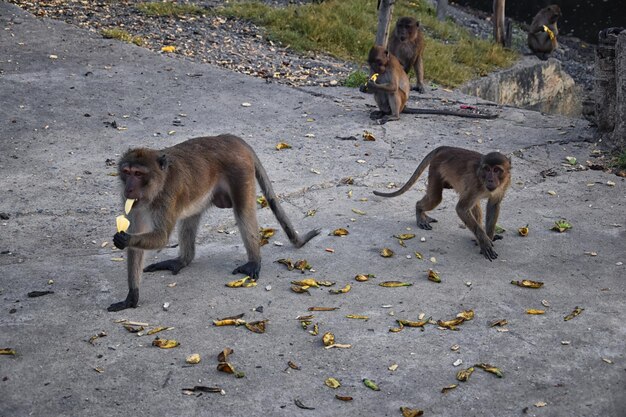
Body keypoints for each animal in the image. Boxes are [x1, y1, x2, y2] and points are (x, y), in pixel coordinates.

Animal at [107, 135, 320, 310]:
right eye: (126, 172)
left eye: (138, 174)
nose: (129, 188)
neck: (156, 188)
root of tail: (229, 138)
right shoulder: (133, 203)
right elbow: (138, 241)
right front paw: (132, 296)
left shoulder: (168, 196)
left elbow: (162, 237)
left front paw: (125, 239)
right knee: (190, 218)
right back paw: (183, 260)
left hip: (241, 171)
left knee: (243, 212)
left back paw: (254, 261)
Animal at [360, 46, 498, 123]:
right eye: (372, 62)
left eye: (378, 61)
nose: (376, 67)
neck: (386, 65)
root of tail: (403, 107)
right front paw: (364, 87)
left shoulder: (393, 66)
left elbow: (393, 87)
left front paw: (371, 85)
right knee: (380, 93)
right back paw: (382, 112)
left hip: (402, 102)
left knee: (393, 92)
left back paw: (394, 116)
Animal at [372, 146, 510, 260]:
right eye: (487, 169)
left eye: (496, 170)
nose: (490, 179)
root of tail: (446, 148)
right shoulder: (475, 184)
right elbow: (461, 208)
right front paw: (484, 241)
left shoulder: (505, 183)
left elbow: (493, 205)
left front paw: (488, 237)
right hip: (436, 168)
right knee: (435, 198)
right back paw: (419, 210)